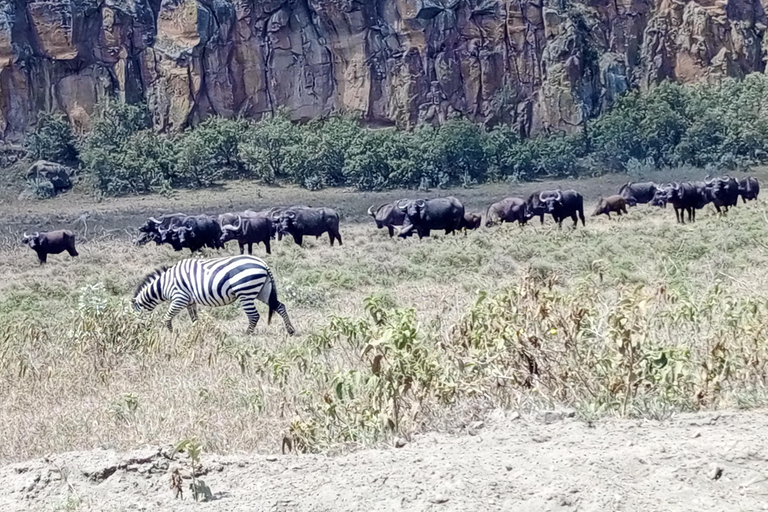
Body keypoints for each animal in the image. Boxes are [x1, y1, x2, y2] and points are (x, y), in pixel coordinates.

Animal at [132, 253, 294, 334]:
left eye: (134, 317)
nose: (138, 333)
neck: (164, 284)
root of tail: (263, 263)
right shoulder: (190, 301)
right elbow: (194, 319)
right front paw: (197, 332)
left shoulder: (179, 298)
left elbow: (167, 317)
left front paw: (171, 334)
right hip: (263, 291)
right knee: (280, 306)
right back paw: (291, 330)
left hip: (245, 292)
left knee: (254, 315)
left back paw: (247, 334)